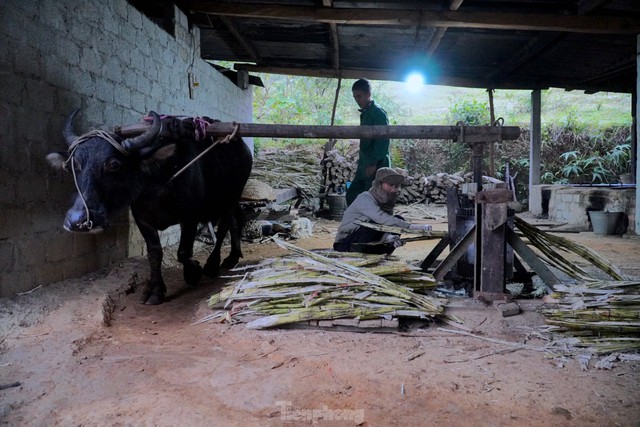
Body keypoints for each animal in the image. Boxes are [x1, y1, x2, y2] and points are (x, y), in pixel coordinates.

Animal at [48, 110, 252, 304]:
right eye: (74, 165)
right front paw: (154, 290)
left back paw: (213, 264)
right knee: (235, 222)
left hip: (230, 198)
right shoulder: (142, 219)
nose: (77, 221)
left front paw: (193, 272)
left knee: (225, 227)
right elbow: (154, 253)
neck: (155, 182)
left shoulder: (189, 217)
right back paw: (232, 257)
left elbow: (183, 251)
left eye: (114, 164)